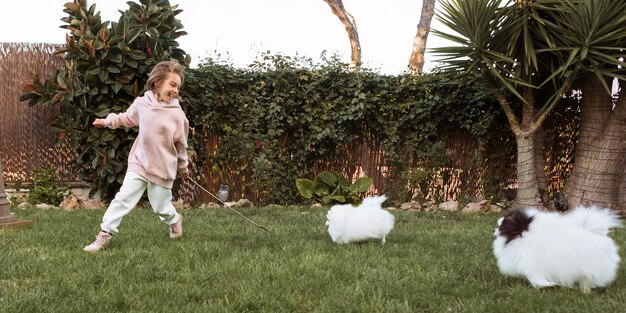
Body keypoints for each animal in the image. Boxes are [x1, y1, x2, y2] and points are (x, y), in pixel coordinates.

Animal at [492, 206, 620, 292]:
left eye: (501, 226)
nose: (493, 230)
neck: (525, 235)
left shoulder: (531, 264)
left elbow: (536, 278)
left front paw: (546, 285)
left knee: (588, 280)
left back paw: (585, 290)